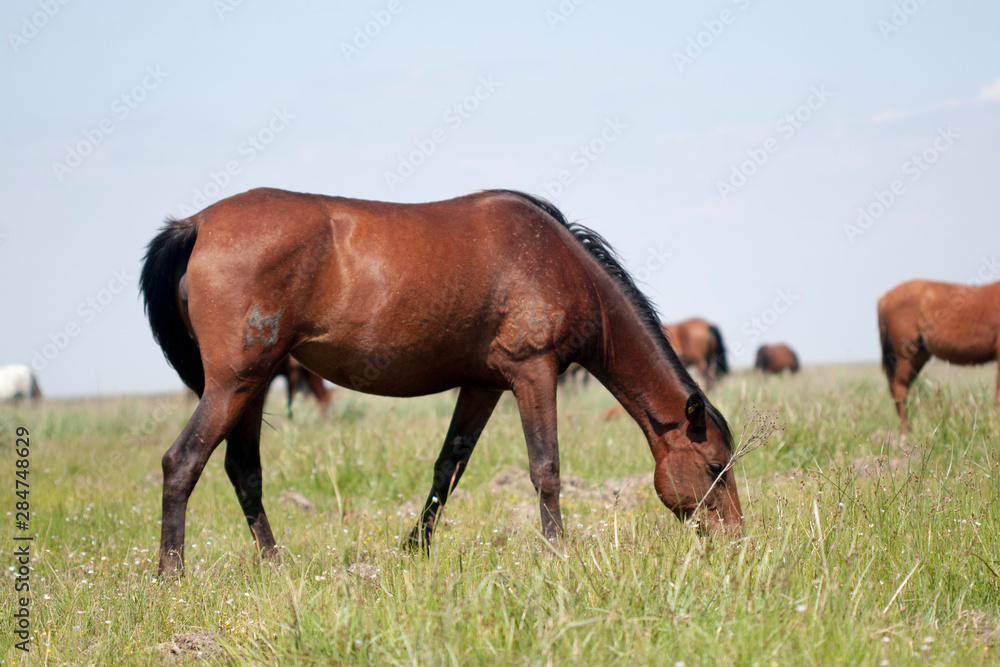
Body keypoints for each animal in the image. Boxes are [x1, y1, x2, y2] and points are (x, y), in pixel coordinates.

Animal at [139, 188, 744, 576]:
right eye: (716, 466)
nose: (737, 541)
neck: (558, 261)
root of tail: (197, 224)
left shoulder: (483, 386)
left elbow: (447, 468)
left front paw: (415, 549)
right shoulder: (533, 371)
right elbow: (546, 469)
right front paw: (557, 555)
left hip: (256, 382)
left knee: (244, 472)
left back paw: (275, 567)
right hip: (233, 384)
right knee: (181, 463)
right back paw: (172, 578)